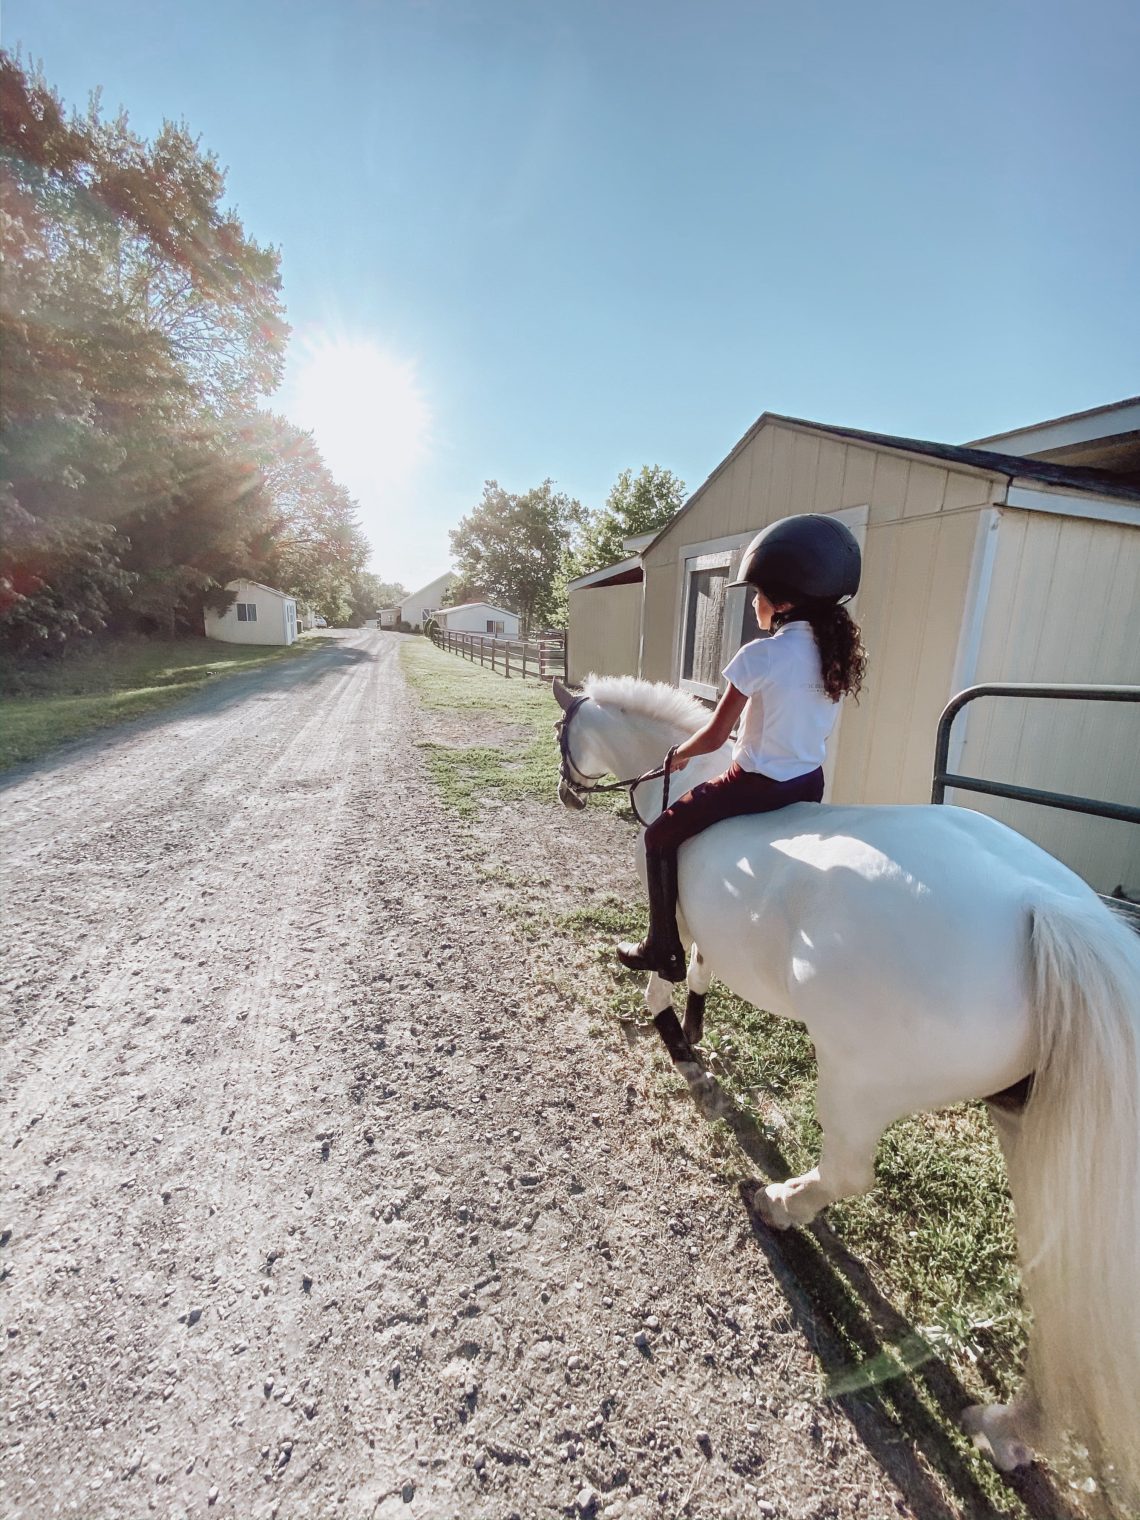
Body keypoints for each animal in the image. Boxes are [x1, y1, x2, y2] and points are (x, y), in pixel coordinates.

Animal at [551, 673, 1140, 1501]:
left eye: (563, 733)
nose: (567, 791)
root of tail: (1044, 907)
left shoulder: (675, 905)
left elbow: (665, 964)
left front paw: (668, 1027)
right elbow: (697, 970)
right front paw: (692, 1033)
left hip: (859, 1078)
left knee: (848, 1172)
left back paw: (776, 1204)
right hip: (1032, 1130)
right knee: (1060, 1295)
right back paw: (1006, 1429)